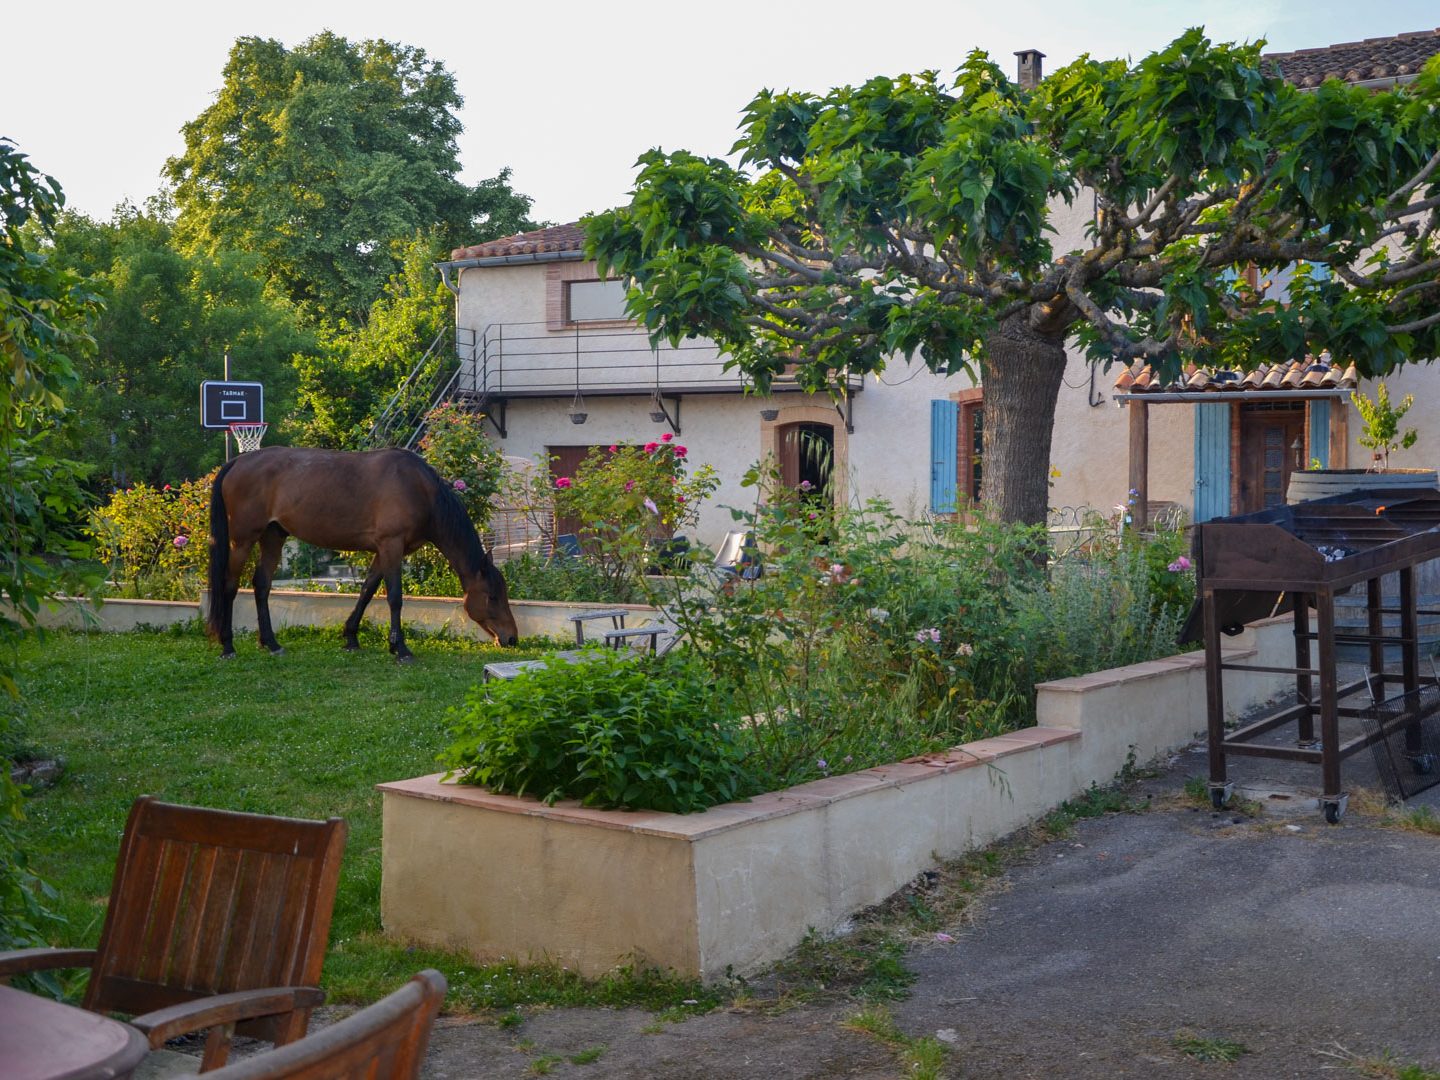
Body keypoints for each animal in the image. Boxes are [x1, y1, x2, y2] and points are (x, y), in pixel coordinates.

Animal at [207, 447, 519, 660]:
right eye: (492, 596)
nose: (512, 638)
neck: (418, 488)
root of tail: (237, 462)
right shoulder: (391, 545)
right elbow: (394, 597)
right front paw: (399, 647)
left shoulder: (385, 550)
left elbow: (367, 590)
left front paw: (351, 637)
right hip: (242, 540)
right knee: (229, 586)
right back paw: (228, 645)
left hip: (273, 536)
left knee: (261, 585)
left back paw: (271, 643)